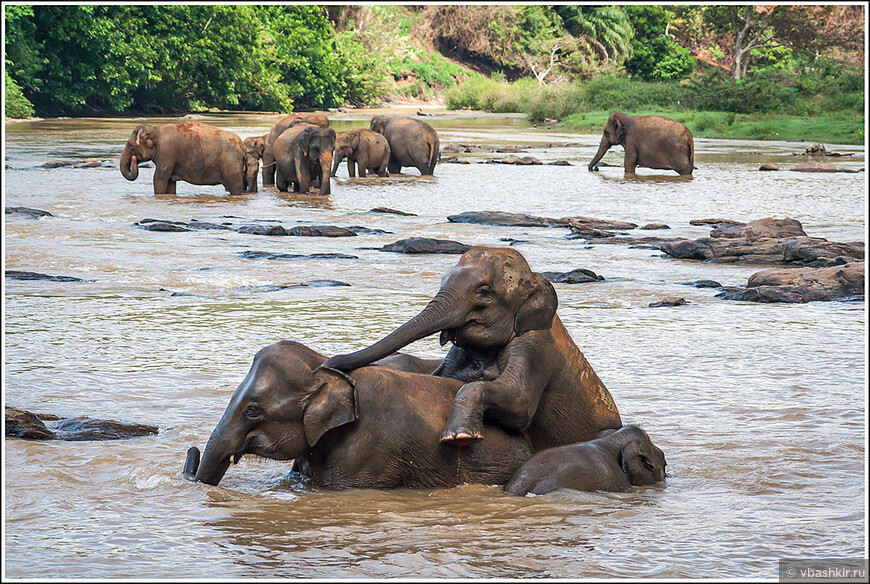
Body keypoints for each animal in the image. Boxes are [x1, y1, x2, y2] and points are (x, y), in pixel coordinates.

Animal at [117, 122, 247, 195]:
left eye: (130, 145)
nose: (133, 159)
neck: (155, 130)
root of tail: (242, 146)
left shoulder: (167, 153)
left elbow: (159, 178)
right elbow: (170, 182)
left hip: (231, 165)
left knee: (235, 188)